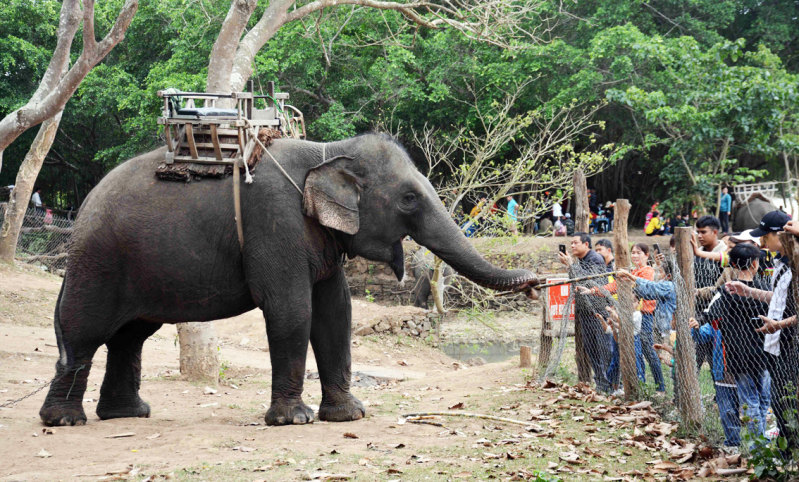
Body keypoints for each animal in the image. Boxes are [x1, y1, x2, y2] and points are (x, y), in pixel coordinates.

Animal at [39, 132, 536, 426]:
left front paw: (350, 416)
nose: (535, 281)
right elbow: (292, 309)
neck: (328, 151)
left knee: (131, 335)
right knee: (85, 330)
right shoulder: (274, 223)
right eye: (409, 199)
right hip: (99, 260)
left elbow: (337, 312)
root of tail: (82, 207)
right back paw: (65, 421)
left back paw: (128, 414)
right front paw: (294, 419)